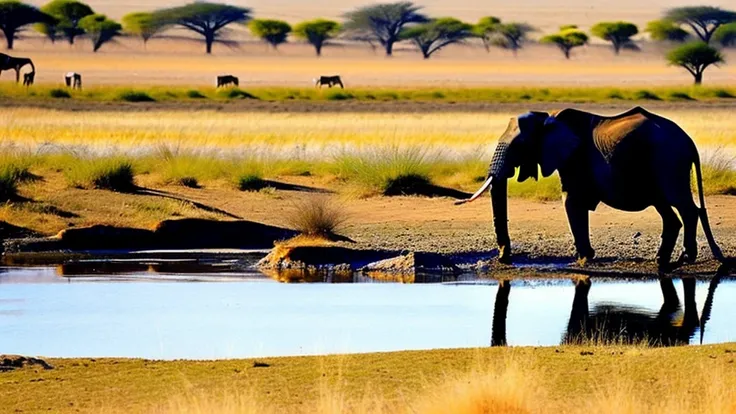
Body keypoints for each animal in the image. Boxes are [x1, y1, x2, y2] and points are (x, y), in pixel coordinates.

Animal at [458, 106, 728, 272]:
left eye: (520, 145)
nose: (504, 258)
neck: (547, 118)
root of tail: (689, 141)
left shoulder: (572, 157)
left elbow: (570, 200)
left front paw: (582, 259)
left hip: (668, 161)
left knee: (684, 206)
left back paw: (685, 258)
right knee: (668, 210)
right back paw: (661, 260)